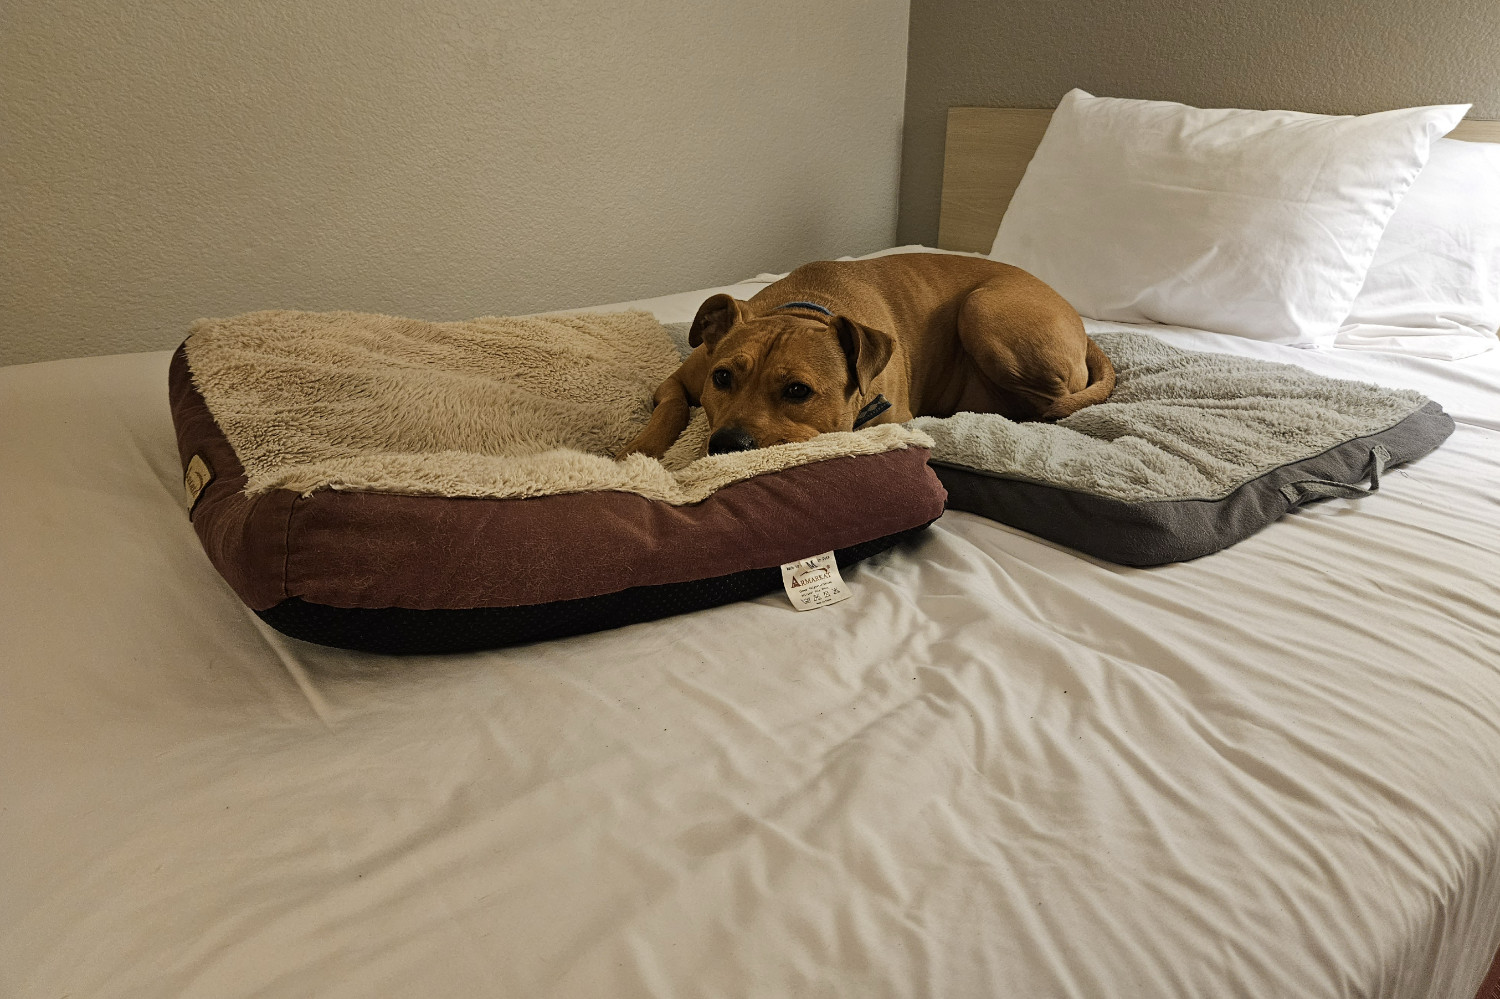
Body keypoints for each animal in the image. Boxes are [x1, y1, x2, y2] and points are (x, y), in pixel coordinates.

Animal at [612, 250, 1116, 456]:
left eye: (798, 391)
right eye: (721, 378)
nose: (727, 445)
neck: (803, 308)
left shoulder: (887, 420)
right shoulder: (676, 381)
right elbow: (672, 406)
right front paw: (641, 450)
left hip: (984, 311)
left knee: (1051, 404)